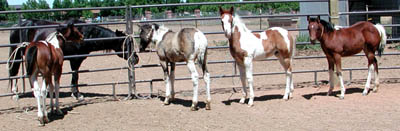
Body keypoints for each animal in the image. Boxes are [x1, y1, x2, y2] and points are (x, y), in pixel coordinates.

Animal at [7, 18, 140, 100]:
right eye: (126, 45)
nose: (135, 58)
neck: (86, 35)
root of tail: (17, 26)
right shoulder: (75, 60)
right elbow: (75, 75)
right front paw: (77, 94)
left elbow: (75, 75)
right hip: (17, 54)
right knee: (13, 71)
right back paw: (15, 94)